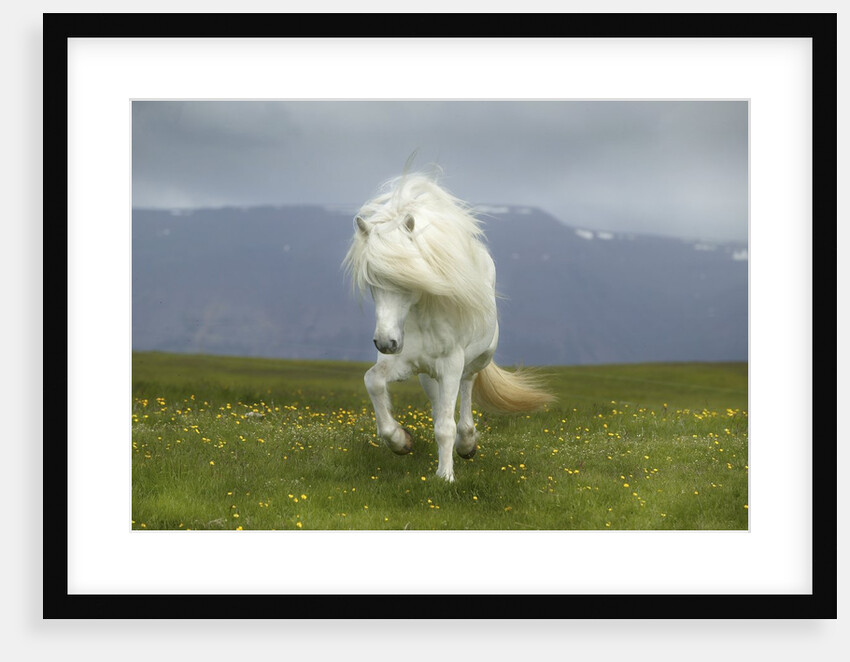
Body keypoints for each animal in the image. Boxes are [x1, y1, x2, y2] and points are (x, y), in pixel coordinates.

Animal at [343, 172, 554, 482]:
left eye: (407, 276)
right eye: (371, 281)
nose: (385, 342)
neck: (420, 316)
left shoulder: (451, 364)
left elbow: (445, 426)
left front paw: (444, 477)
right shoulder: (405, 363)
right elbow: (374, 381)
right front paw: (400, 440)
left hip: (473, 361)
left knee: (466, 389)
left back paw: (467, 444)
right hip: (428, 375)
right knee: (438, 403)